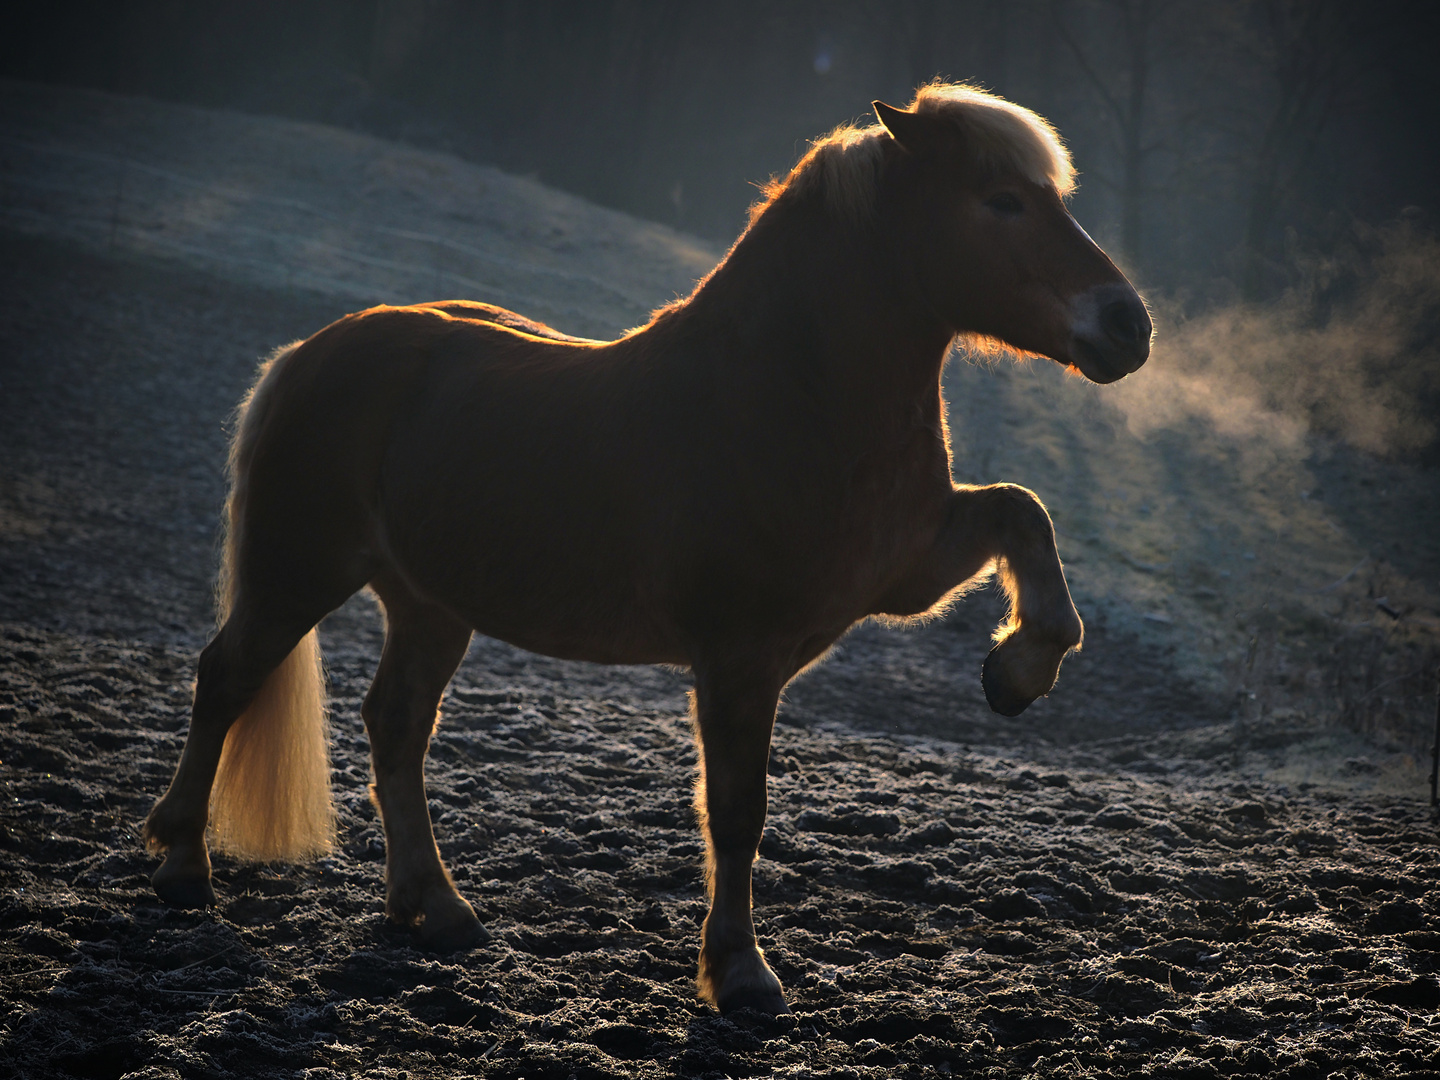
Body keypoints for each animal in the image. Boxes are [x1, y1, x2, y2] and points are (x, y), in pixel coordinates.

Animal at [143, 86, 1146, 1025]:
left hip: (429, 605)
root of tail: (311, 350)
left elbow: (1022, 514)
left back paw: (435, 908)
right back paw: (184, 864)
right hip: (298, 572)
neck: (787, 397)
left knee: (394, 724)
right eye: (1001, 200)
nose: (1128, 325)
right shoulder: (739, 657)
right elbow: (736, 812)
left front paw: (1020, 671)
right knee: (226, 679)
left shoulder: (906, 569)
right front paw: (741, 975)